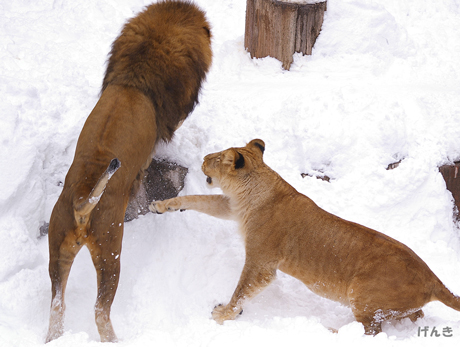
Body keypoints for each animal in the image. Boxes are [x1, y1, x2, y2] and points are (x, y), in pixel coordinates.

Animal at [46, 0, 212, 342]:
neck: (135, 81)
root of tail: (82, 203)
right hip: (111, 254)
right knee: (100, 311)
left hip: (57, 250)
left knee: (57, 304)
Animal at [150, 139, 460, 338]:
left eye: (216, 159)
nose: (203, 159)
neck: (252, 193)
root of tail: (432, 277)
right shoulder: (231, 208)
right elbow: (198, 199)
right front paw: (162, 205)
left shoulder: (261, 263)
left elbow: (241, 289)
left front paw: (224, 314)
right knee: (413, 317)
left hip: (361, 293)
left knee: (371, 330)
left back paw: (333, 332)